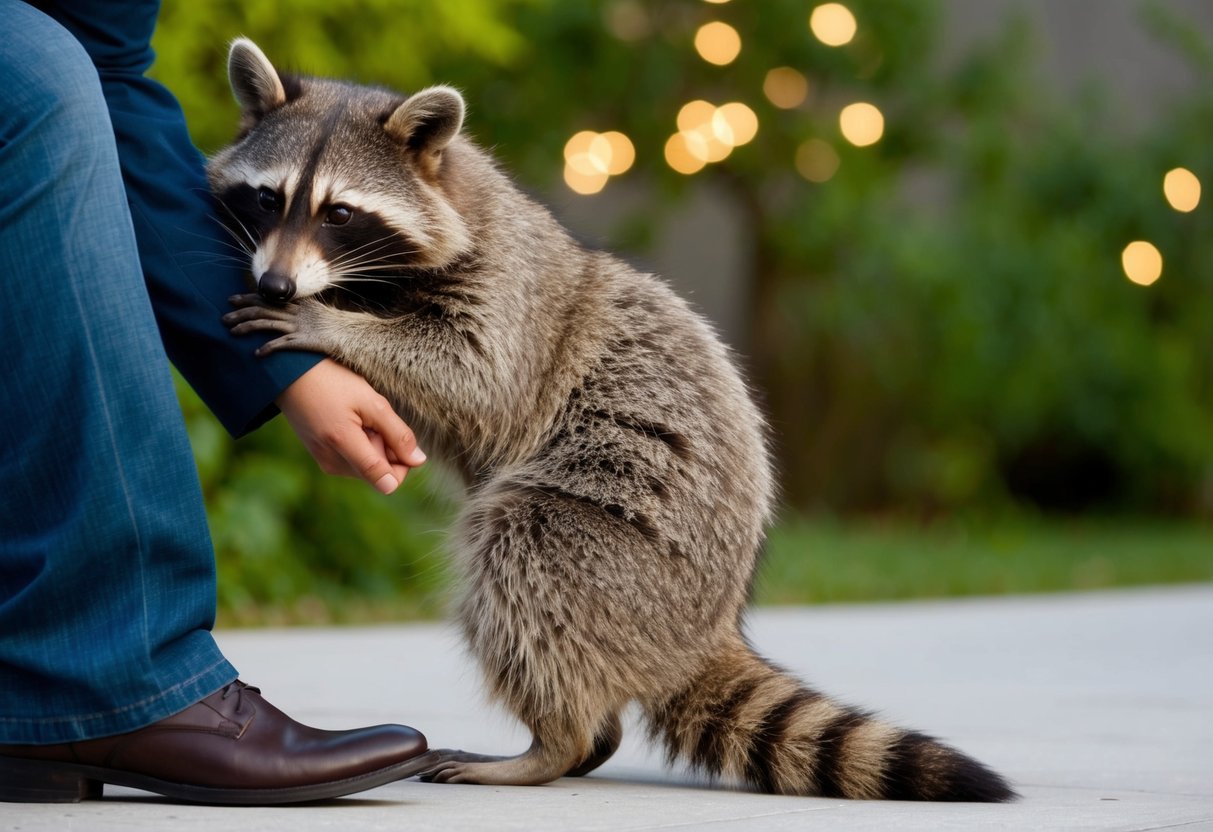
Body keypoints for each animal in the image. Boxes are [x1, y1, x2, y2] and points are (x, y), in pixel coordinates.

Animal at [213, 38, 1015, 802]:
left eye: (339, 213)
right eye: (267, 198)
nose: (276, 283)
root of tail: (708, 628)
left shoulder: (511, 296)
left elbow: (474, 378)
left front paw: (334, 325)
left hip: (616, 556)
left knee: (519, 554)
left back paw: (553, 743)